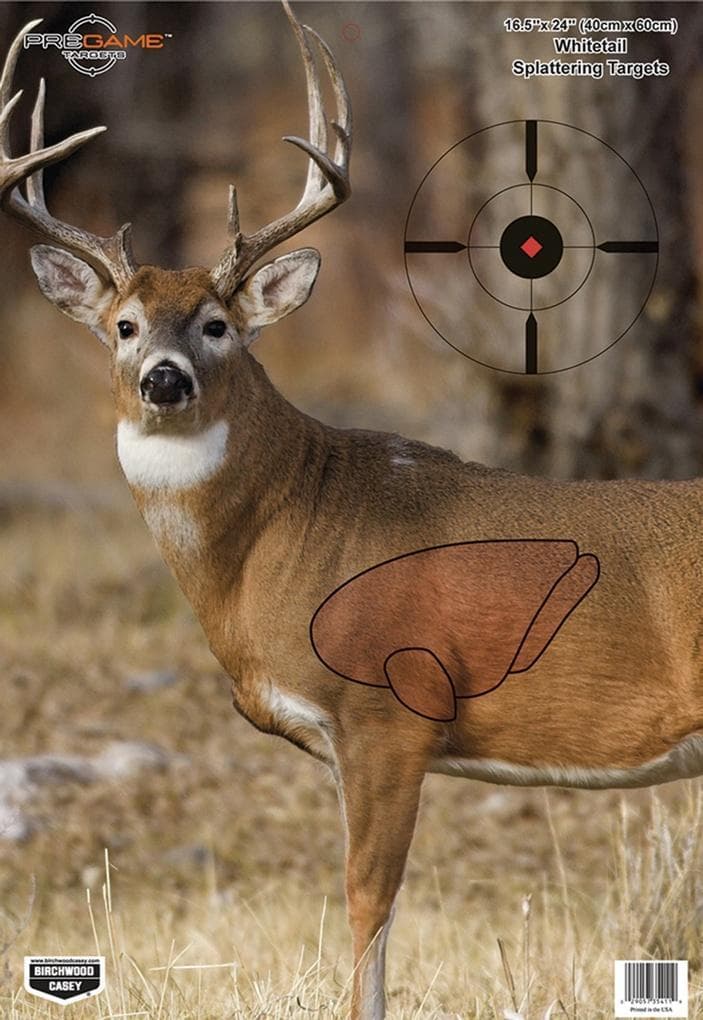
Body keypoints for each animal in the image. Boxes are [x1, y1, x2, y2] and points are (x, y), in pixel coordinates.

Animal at [2, 6, 703, 1019]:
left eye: (216, 324)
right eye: (123, 326)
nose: (164, 379)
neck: (284, 535)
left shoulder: (387, 710)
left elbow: (367, 901)